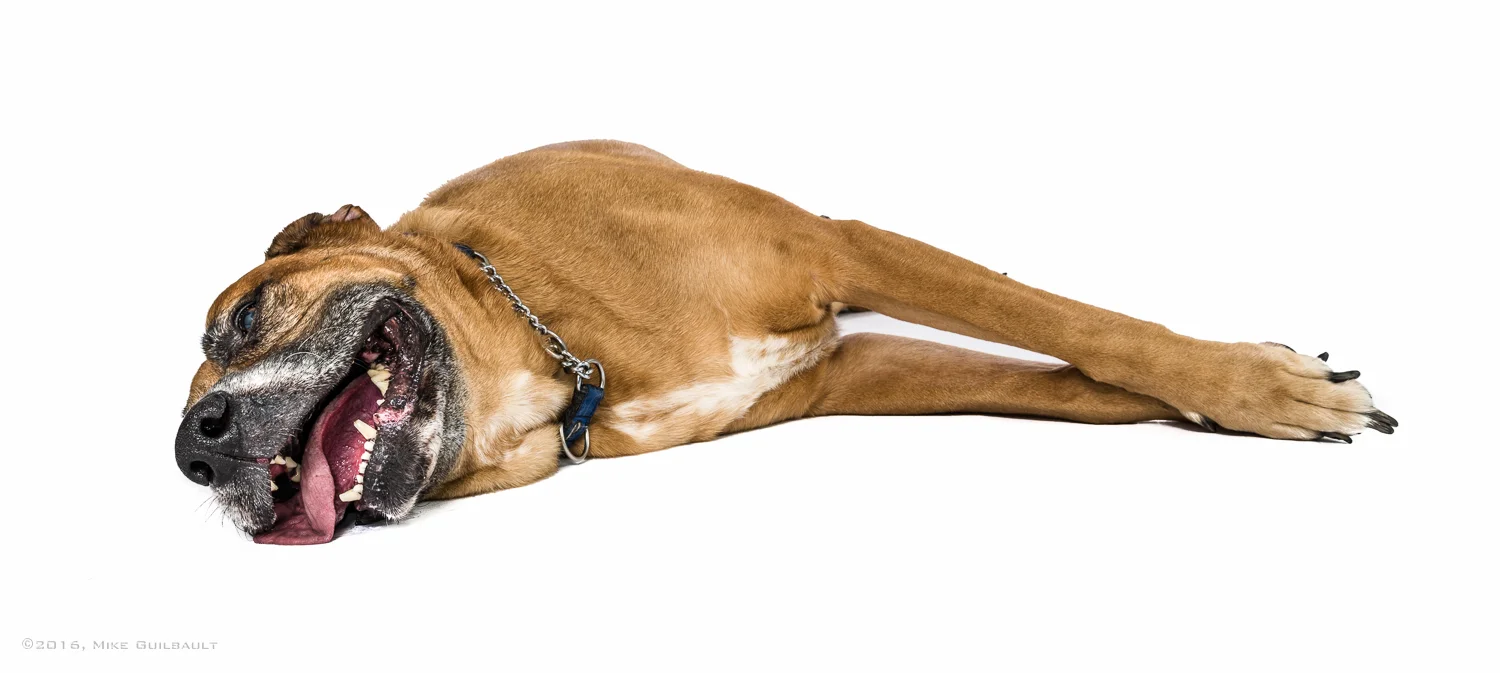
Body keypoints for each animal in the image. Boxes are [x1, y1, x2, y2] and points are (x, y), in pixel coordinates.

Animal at [176, 140, 1397, 544]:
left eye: (241, 317)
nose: (198, 445)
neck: (558, 352)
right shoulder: (859, 368)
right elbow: (1067, 377)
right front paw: (1256, 394)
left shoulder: (841, 247)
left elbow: (1075, 324)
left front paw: (1251, 383)